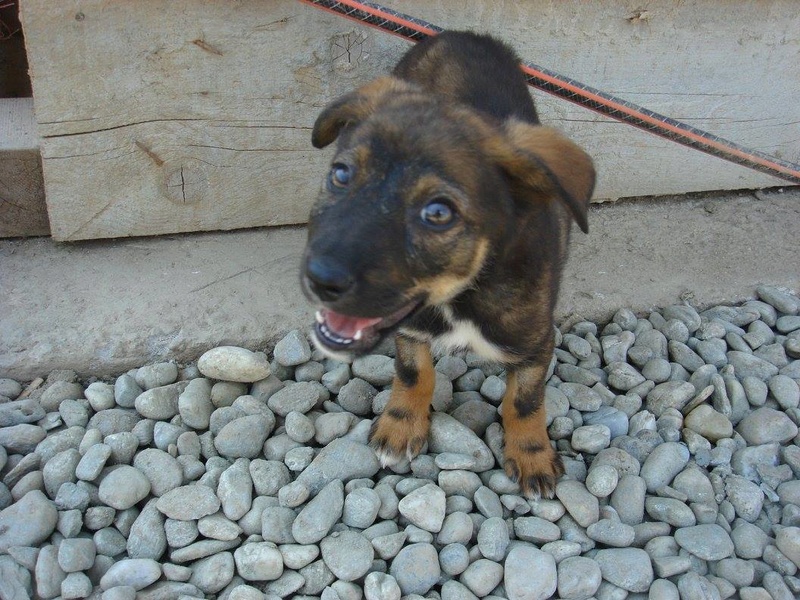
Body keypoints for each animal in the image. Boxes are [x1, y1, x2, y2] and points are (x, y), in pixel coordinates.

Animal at [300, 30, 592, 496]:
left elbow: (526, 401)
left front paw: (532, 455)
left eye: (438, 213)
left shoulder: (537, 341)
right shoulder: (410, 328)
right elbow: (412, 372)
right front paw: (400, 425)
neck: (463, 294)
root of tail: (462, 34)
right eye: (341, 174)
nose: (319, 278)